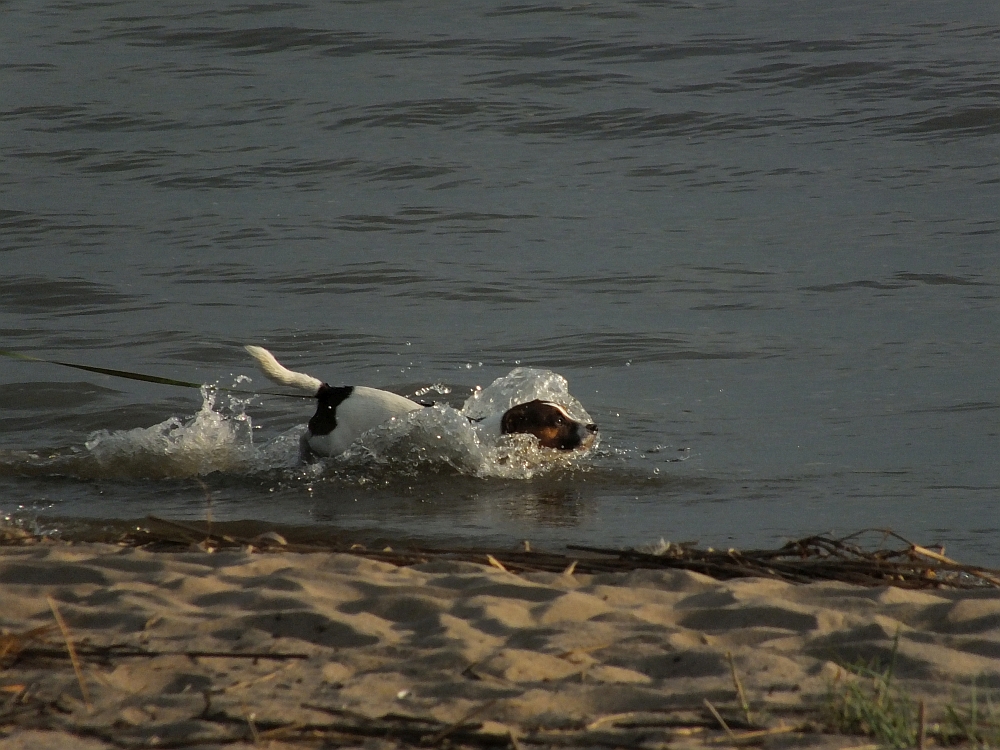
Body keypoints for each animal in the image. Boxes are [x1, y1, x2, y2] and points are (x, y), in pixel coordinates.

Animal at [244, 346, 598, 458]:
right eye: (557, 421)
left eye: (567, 413)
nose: (593, 426)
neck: (494, 433)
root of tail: (332, 392)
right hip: (333, 442)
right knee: (307, 438)